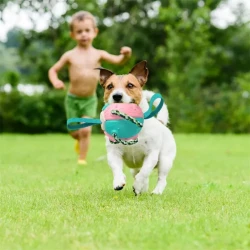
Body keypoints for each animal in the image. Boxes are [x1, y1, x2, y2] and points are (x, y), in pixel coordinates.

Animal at [96, 60, 177, 195]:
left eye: (130, 85)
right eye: (110, 86)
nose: (116, 96)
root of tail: (161, 122)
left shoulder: (151, 154)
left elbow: (144, 172)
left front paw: (138, 185)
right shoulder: (113, 152)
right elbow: (116, 168)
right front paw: (118, 182)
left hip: (165, 160)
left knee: (161, 178)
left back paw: (156, 192)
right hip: (135, 168)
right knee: (140, 174)